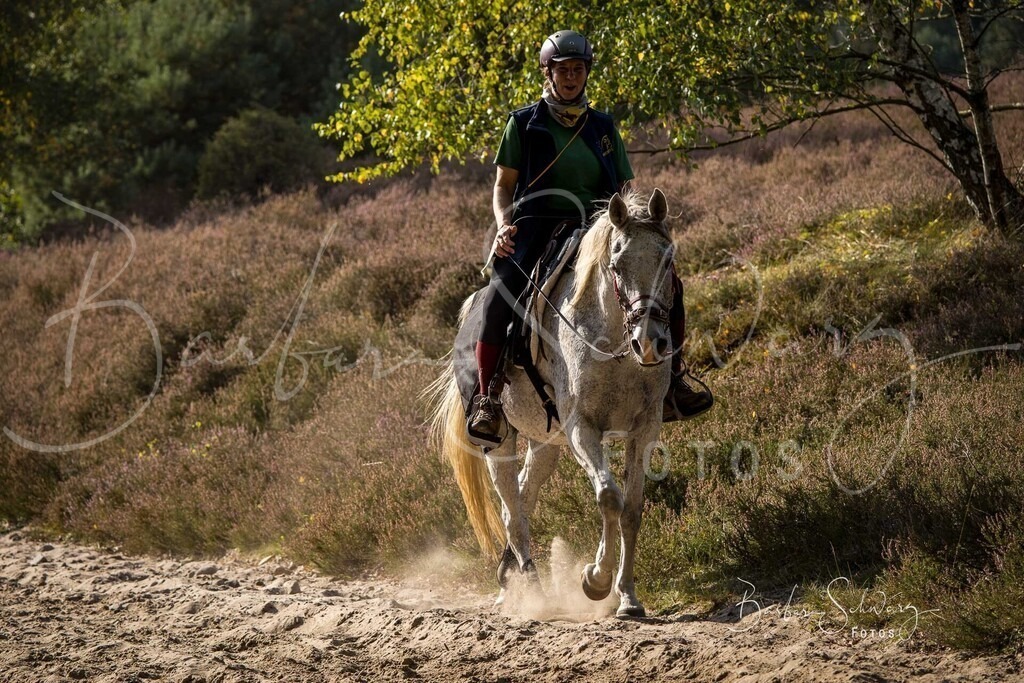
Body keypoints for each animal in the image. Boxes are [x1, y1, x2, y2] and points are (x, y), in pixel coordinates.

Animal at [429, 188, 676, 618]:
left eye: (667, 259)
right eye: (616, 264)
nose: (649, 343)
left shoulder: (644, 428)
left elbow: (630, 509)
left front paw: (627, 596)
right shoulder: (582, 427)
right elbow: (608, 497)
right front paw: (595, 580)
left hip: (544, 443)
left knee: (525, 495)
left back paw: (508, 580)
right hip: (498, 442)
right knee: (512, 513)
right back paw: (534, 594)